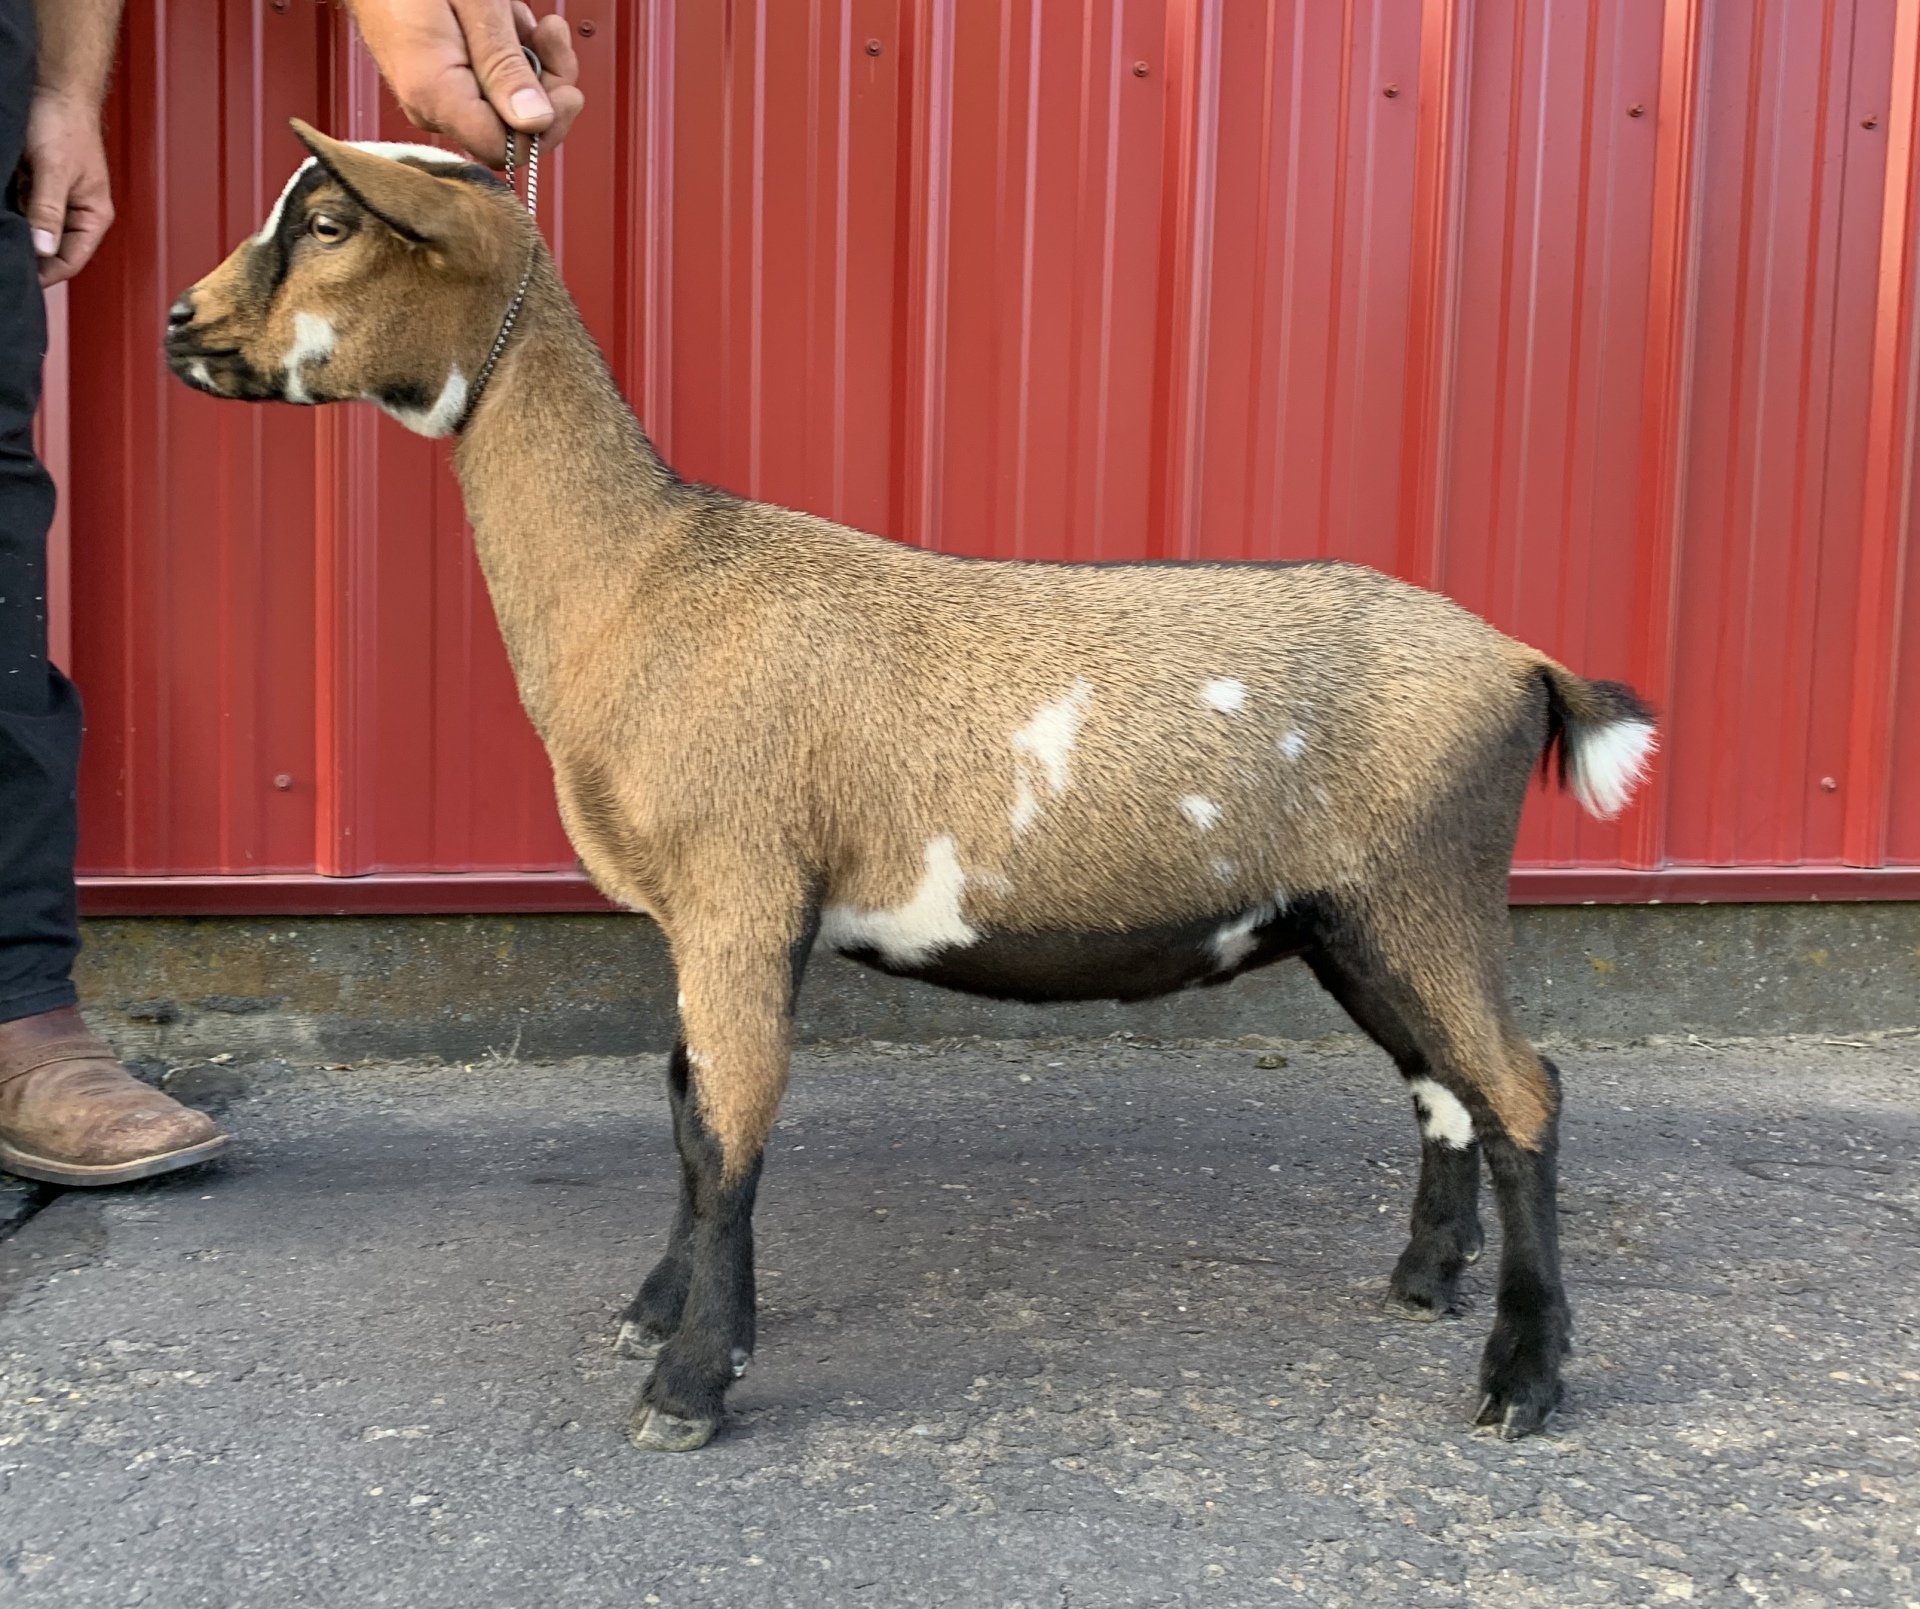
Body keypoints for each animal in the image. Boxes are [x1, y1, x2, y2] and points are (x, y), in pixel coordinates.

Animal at [166, 124, 1657, 1451]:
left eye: (331, 220)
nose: (181, 321)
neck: (646, 575)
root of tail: (1522, 661)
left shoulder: (742, 885)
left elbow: (730, 1121)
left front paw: (690, 1384)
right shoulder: (702, 913)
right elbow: (688, 1112)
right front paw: (662, 1313)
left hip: (1424, 886)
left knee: (1523, 1090)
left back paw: (1521, 1380)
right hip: (1348, 915)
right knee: (1448, 1088)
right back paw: (1424, 1284)